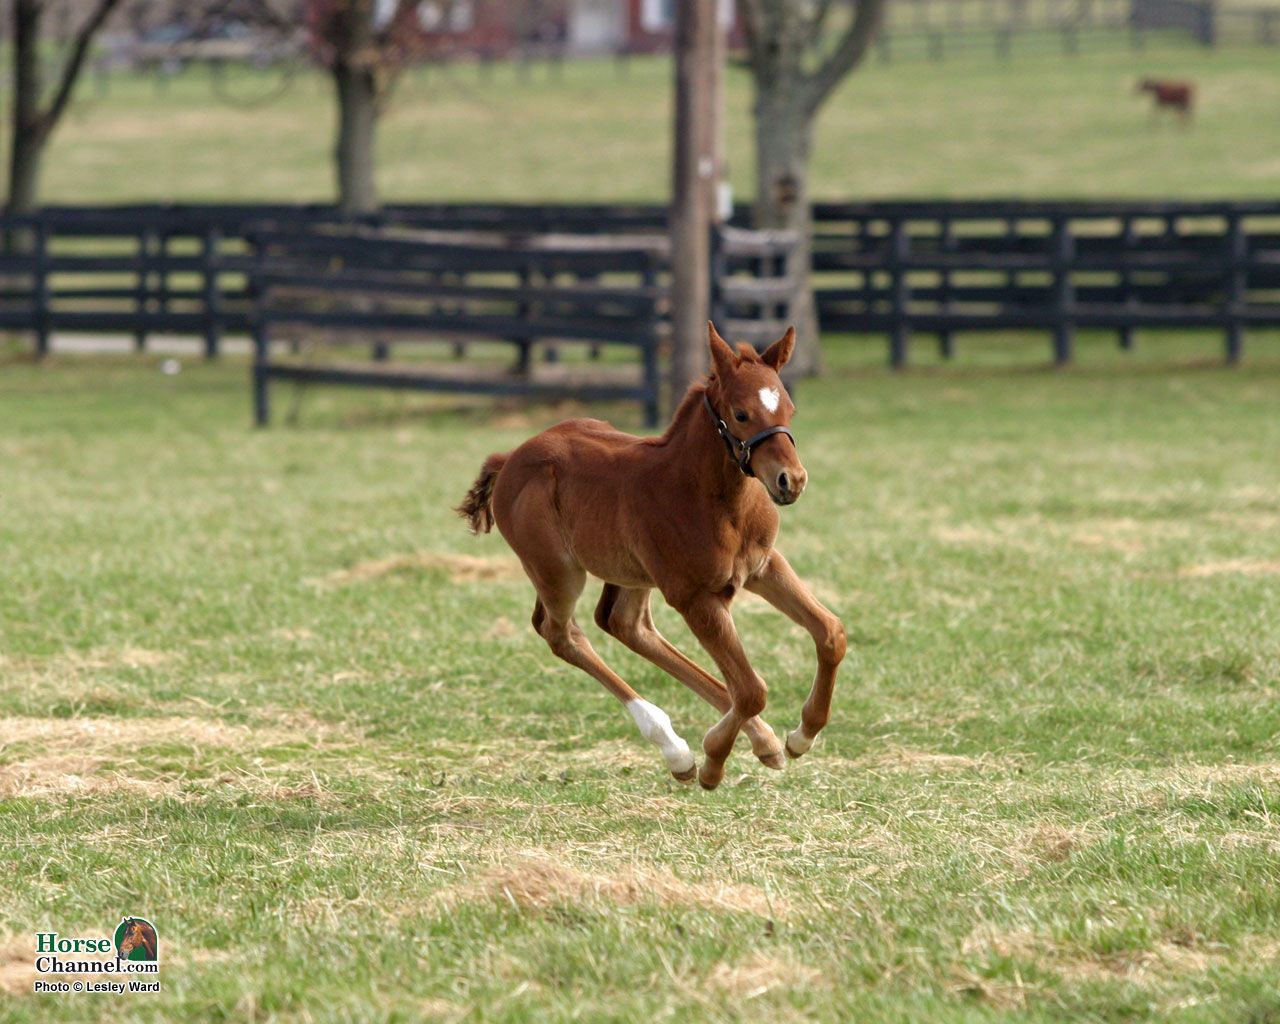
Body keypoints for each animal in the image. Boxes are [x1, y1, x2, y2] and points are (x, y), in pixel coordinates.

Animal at [455, 323, 844, 788]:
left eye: (789, 408)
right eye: (741, 414)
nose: (791, 480)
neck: (709, 497)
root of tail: (511, 457)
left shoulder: (763, 567)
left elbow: (830, 634)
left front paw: (801, 736)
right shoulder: (694, 596)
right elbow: (752, 690)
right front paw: (713, 761)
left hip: (632, 573)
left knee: (624, 624)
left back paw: (758, 741)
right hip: (558, 572)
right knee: (562, 634)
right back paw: (676, 749)